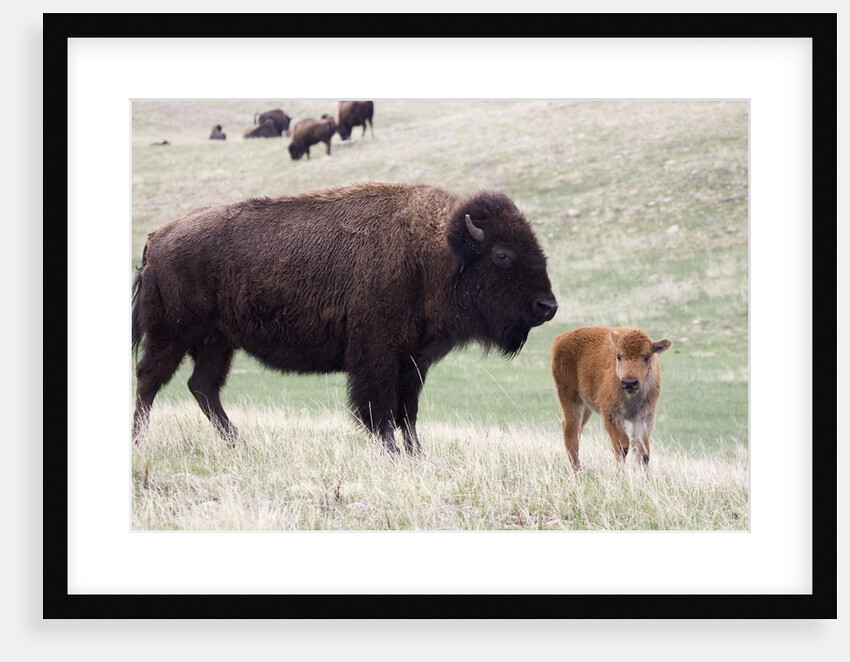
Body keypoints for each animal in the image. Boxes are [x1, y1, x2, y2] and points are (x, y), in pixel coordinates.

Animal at [131, 181, 559, 454]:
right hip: (171, 336)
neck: (433, 251)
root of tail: (157, 237)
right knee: (150, 380)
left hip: (216, 342)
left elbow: (408, 412)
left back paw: (241, 445)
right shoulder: (378, 357)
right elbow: (380, 409)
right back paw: (139, 441)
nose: (548, 306)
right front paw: (392, 452)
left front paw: (416, 454)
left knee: (203, 387)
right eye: (502, 254)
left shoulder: (413, 361)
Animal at [551, 326, 671, 470]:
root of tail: (561, 338)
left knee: (575, 430)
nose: (629, 382)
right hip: (571, 399)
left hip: (586, 407)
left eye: (647, 356)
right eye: (618, 356)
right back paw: (577, 471)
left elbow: (642, 451)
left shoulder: (645, 416)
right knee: (571, 434)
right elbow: (622, 446)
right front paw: (620, 474)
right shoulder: (611, 413)